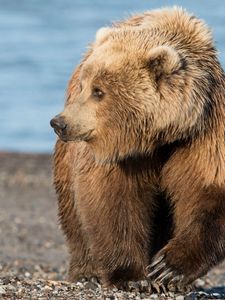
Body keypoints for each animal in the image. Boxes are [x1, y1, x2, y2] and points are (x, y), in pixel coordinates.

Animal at [50, 7, 225, 288]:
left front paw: (167, 268)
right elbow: (114, 198)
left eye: (99, 91)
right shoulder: (121, 154)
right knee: (72, 210)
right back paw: (87, 271)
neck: (161, 136)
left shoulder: (204, 134)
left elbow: (208, 190)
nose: (59, 122)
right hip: (67, 160)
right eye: (84, 86)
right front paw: (132, 276)